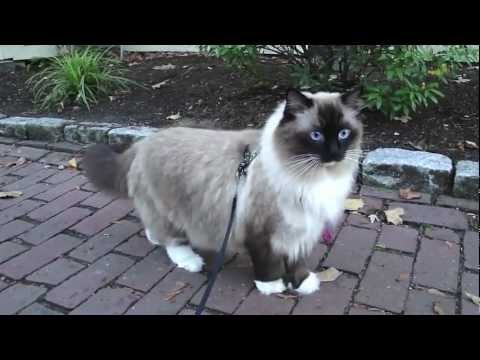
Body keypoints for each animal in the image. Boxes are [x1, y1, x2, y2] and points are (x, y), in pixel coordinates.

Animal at [82, 88, 362, 296]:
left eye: (343, 133)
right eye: (316, 135)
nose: (335, 154)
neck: (311, 176)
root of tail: (144, 142)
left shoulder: (303, 227)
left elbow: (297, 261)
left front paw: (302, 283)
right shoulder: (262, 231)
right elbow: (269, 263)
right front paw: (272, 286)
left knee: (154, 230)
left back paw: (155, 239)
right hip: (169, 210)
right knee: (172, 240)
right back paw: (190, 261)